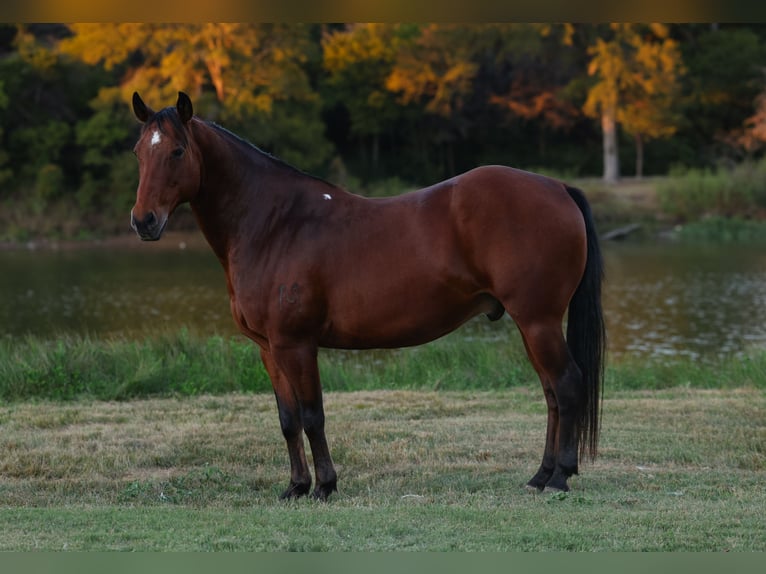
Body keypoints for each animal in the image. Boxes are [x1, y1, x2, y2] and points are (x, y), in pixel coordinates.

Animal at [130, 91, 605, 500]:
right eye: (138, 152)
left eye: (177, 151)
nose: (143, 221)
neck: (275, 224)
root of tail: (557, 188)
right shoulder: (269, 348)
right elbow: (288, 420)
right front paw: (296, 486)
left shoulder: (297, 345)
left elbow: (312, 416)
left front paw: (324, 486)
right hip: (531, 325)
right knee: (551, 393)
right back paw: (540, 475)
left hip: (539, 321)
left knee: (567, 384)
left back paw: (560, 477)